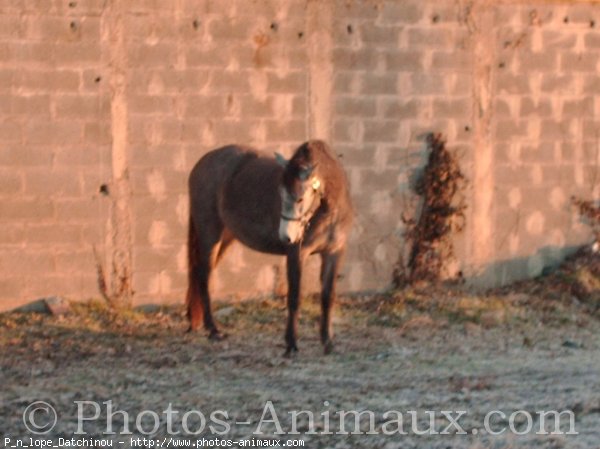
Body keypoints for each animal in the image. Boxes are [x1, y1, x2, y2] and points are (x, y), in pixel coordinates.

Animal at [186, 139, 352, 354]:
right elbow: (294, 297)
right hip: (210, 232)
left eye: (300, 198)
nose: (286, 237)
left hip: (226, 237)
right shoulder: (297, 253)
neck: (329, 211)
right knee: (204, 275)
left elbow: (327, 297)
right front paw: (291, 344)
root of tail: (201, 164)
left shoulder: (334, 253)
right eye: (280, 194)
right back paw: (213, 329)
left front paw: (327, 342)